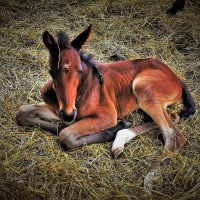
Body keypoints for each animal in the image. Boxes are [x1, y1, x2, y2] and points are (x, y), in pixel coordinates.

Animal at [16, 25, 196, 157]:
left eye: (79, 71)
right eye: (51, 70)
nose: (68, 115)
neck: (84, 90)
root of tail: (175, 76)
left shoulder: (108, 116)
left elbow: (66, 135)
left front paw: (110, 131)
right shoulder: (57, 108)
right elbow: (22, 112)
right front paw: (61, 125)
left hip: (143, 88)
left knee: (174, 138)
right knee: (173, 117)